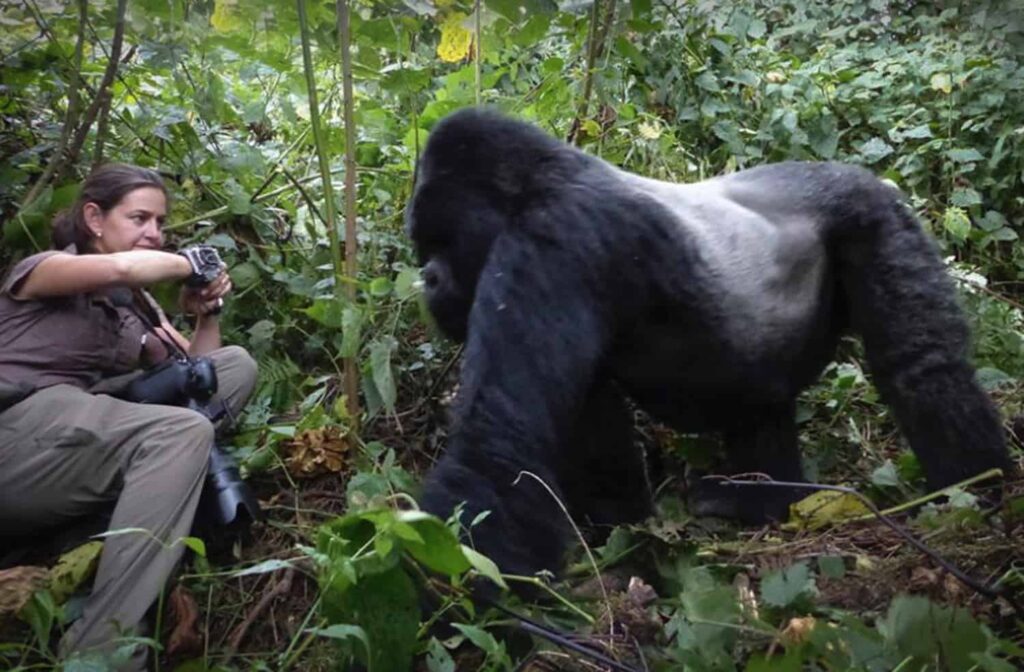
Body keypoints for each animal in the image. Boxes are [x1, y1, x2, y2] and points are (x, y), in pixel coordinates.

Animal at [403, 109, 1011, 577]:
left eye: (441, 242)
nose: (426, 281)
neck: (540, 179)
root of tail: (866, 175)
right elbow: (586, 425)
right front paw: (617, 532)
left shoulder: (552, 240)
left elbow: (500, 445)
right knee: (762, 405)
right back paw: (767, 500)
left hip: (875, 217)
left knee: (924, 369)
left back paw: (972, 493)